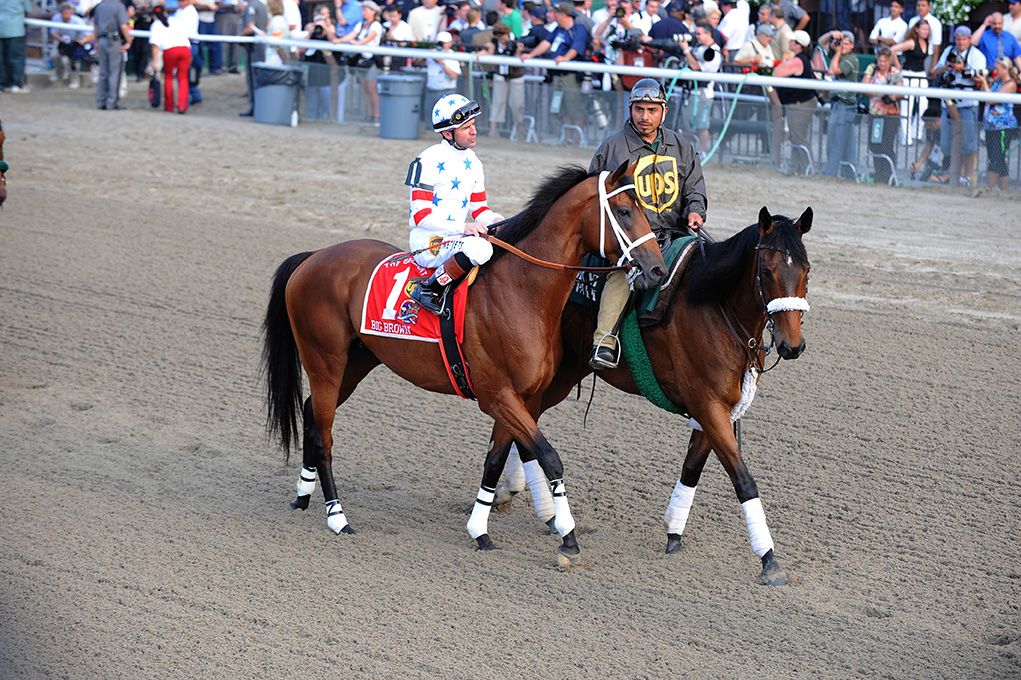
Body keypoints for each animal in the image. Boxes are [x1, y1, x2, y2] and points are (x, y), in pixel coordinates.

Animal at [259, 163, 665, 559]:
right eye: (625, 212)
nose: (658, 269)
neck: (521, 291)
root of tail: (313, 257)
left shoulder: (521, 397)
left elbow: (495, 461)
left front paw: (479, 530)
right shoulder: (498, 395)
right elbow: (549, 457)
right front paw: (567, 535)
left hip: (356, 363)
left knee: (312, 413)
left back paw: (303, 496)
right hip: (324, 361)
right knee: (324, 437)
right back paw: (337, 517)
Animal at [490, 206, 808, 584]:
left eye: (805, 269)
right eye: (766, 270)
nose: (792, 345)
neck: (713, 306)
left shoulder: (717, 408)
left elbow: (692, 468)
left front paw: (674, 533)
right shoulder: (708, 404)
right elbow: (743, 479)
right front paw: (768, 559)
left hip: (561, 374)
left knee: (525, 421)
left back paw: (525, 500)